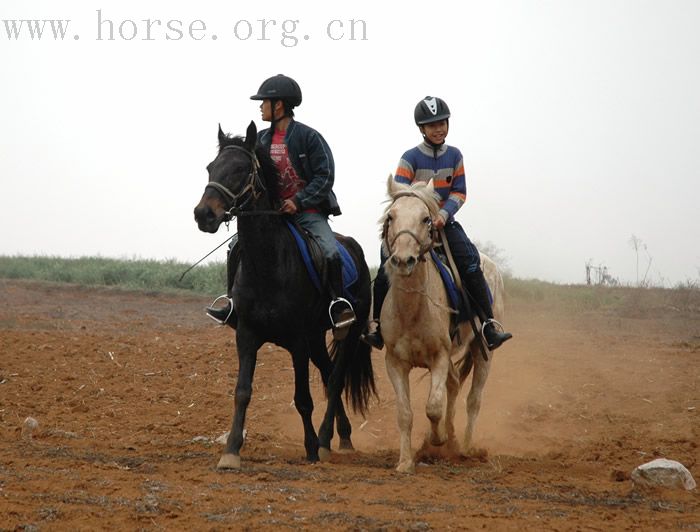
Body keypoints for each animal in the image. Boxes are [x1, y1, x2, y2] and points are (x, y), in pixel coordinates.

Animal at [191, 121, 378, 470]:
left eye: (240, 169)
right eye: (211, 167)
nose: (203, 214)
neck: (268, 263)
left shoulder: (297, 342)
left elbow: (303, 398)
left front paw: (311, 448)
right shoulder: (247, 335)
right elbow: (242, 391)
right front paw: (231, 451)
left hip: (347, 332)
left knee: (336, 380)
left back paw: (325, 440)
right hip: (317, 338)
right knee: (329, 374)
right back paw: (342, 436)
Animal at [380, 175, 506, 474]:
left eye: (426, 218)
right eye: (391, 216)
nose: (403, 260)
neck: (412, 309)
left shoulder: (438, 356)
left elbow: (433, 407)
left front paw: (435, 440)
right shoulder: (395, 362)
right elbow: (405, 413)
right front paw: (405, 462)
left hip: (483, 350)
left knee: (473, 399)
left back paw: (466, 447)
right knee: (454, 385)